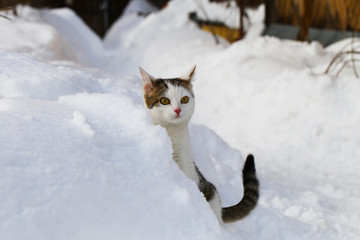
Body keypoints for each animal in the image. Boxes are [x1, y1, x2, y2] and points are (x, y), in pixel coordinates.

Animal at [139, 65, 260, 223]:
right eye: (164, 100)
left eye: (184, 99)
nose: (178, 110)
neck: (172, 136)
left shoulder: (188, 168)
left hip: (211, 193)